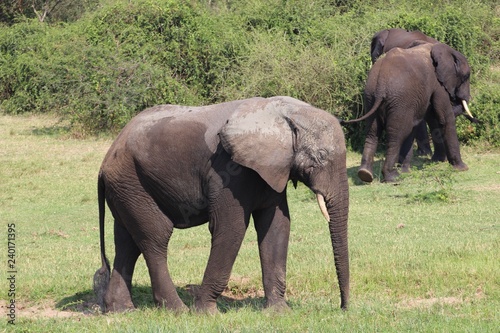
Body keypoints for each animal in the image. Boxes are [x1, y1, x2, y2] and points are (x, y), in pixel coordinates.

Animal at [94, 95, 352, 312]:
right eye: (320, 157)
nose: (343, 308)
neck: (282, 110)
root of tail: (105, 161)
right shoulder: (228, 171)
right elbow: (231, 228)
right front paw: (205, 313)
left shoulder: (273, 169)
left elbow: (277, 226)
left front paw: (279, 312)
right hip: (132, 182)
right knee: (155, 239)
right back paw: (178, 310)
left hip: (128, 188)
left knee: (127, 242)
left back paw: (121, 310)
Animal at [342, 42, 470, 182]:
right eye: (466, 77)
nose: (459, 99)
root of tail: (381, 83)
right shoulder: (438, 84)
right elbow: (444, 118)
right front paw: (462, 168)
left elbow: (428, 118)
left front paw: (408, 170)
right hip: (398, 100)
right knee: (397, 135)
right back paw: (392, 177)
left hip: (371, 97)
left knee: (372, 133)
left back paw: (365, 174)